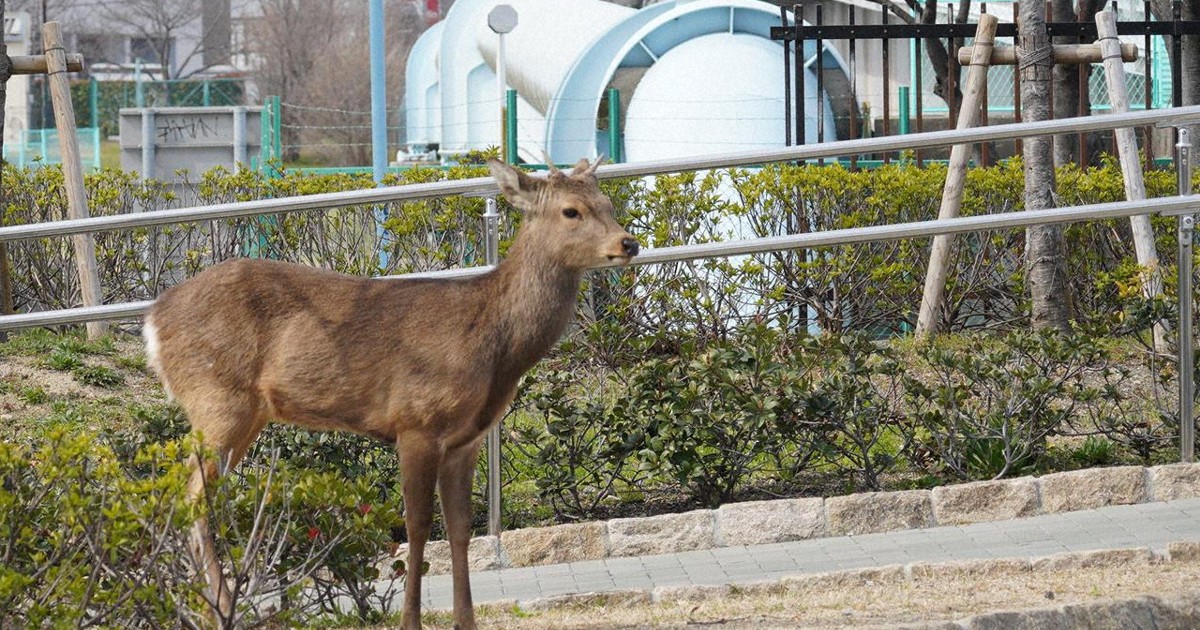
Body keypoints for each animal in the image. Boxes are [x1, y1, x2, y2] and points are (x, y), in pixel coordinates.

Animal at [142, 157, 639, 629]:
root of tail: (153, 319)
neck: (493, 343)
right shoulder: (416, 422)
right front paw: (411, 620)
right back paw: (219, 610)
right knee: (188, 498)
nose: (628, 243)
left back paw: (204, 607)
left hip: (245, 411)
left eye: (608, 204)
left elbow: (461, 528)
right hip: (216, 398)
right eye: (570, 211)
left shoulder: (466, 439)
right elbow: (417, 527)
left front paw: (465, 620)